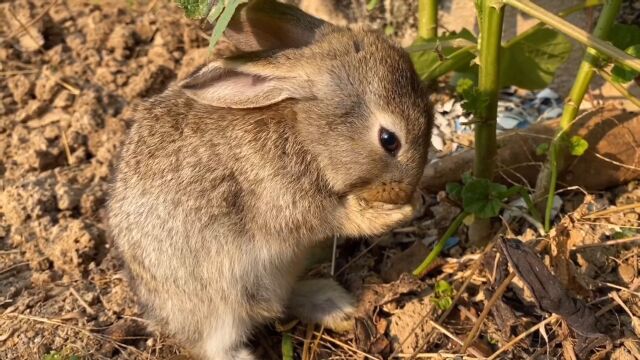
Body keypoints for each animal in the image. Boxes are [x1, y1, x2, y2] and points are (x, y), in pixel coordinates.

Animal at [107, 1, 432, 358]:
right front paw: (395, 212)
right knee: (219, 345)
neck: (304, 130)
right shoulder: (283, 198)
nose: (405, 190)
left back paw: (334, 304)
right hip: (220, 303)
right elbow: (336, 217)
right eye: (389, 140)